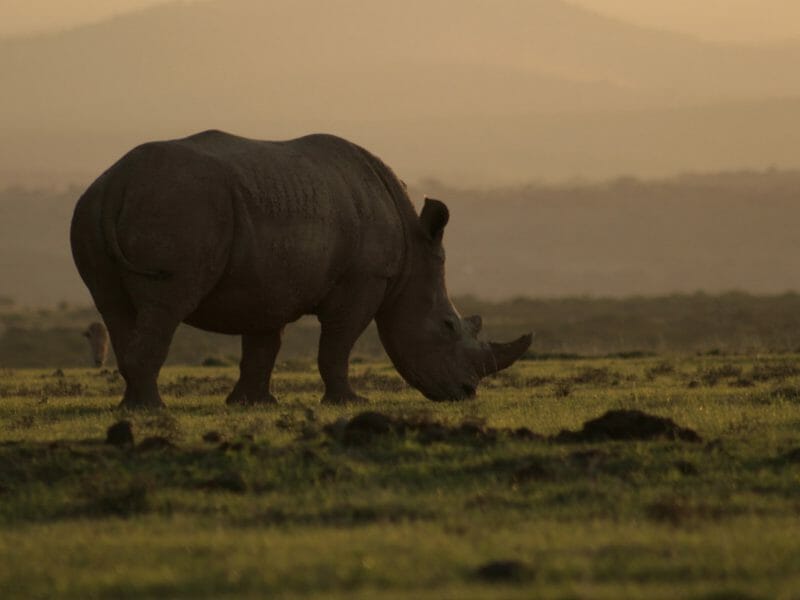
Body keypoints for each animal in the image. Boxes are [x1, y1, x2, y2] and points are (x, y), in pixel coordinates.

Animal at [70, 130, 531, 409]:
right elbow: (338, 344)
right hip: (180, 206)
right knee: (166, 305)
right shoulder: (364, 279)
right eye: (448, 327)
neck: (411, 256)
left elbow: (263, 344)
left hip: (93, 208)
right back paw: (154, 409)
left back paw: (133, 407)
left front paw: (251, 404)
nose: (466, 394)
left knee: (115, 307)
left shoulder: (267, 280)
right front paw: (350, 403)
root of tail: (119, 181)